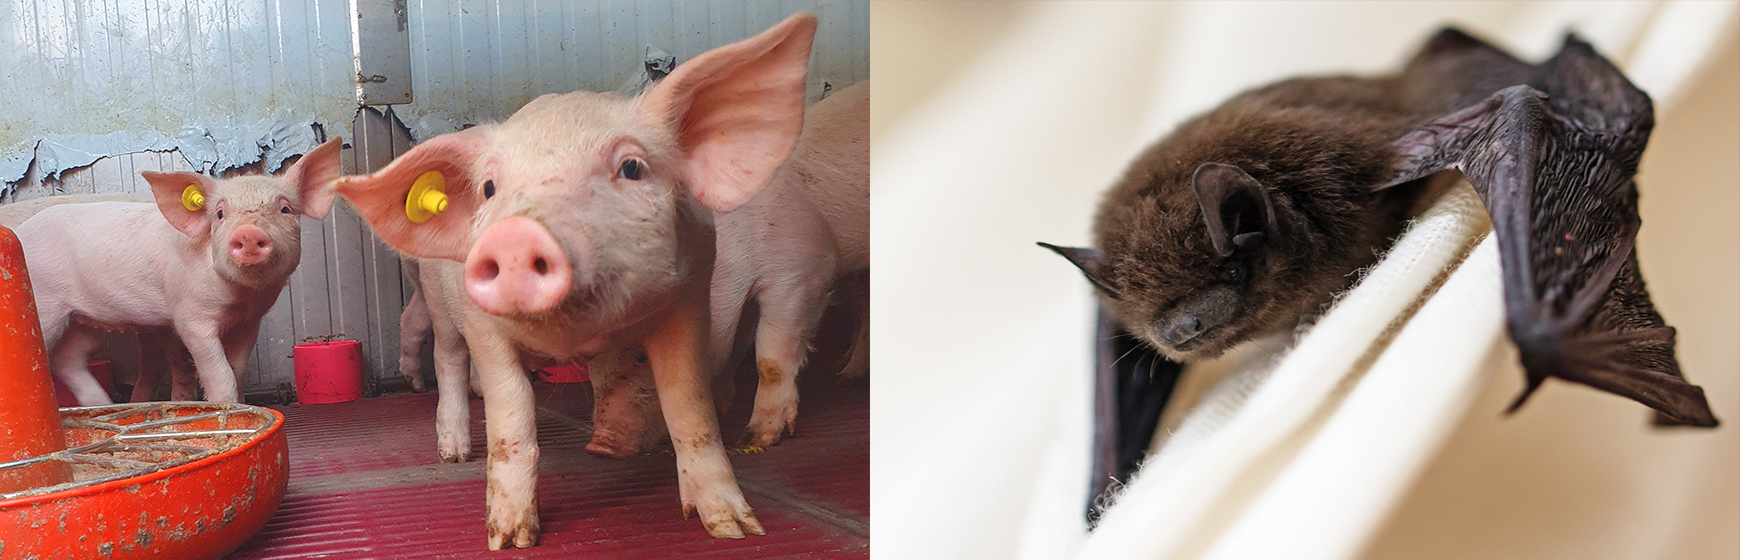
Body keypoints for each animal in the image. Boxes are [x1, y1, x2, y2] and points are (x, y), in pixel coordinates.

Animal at [14, 139, 342, 405]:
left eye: (284, 209)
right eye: (219, 214)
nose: (248, 233)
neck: (241, 297)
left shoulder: (250, 322)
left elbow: (236, 371)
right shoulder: (190, 316)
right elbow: (219, 373)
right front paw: (223, 404)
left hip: (81, 319)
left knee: (67, 358)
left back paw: (104, 405)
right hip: (45, 307)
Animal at [333, 14, 817, 548]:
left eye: (632, 167)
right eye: (489, 188)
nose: (515, 233)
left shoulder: (690, 297)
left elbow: (689, 409)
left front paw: (735, 529)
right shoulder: (484, 325)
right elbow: (512, 418)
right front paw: (509, 539)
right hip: (441, 304)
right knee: (448, 359)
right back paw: (453, 452)